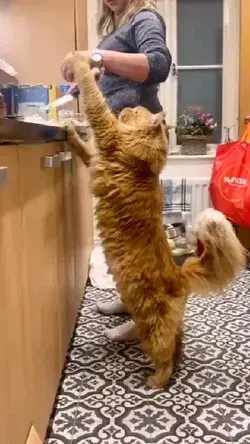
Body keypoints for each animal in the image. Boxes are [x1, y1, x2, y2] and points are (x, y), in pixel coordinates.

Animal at [65, 54, 245, 388]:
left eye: (136, 111)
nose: (126, 107)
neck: (145, 164)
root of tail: (179, 274)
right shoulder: (96, 155)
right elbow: (83, 147)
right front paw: (69, 130)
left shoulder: (105, 130)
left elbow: (93, 98)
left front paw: (81, 61)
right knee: (175, 341)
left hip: (151, 321)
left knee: (163, 351)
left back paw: (155, 381)